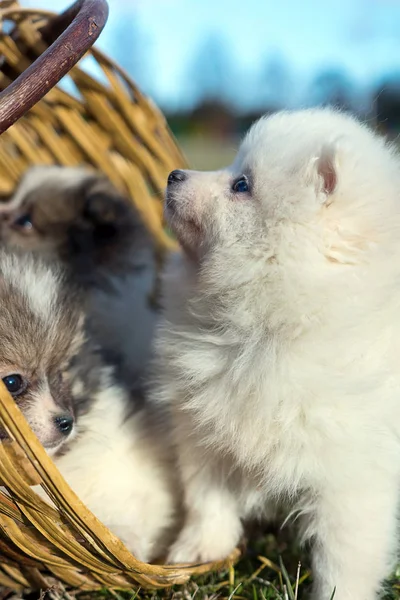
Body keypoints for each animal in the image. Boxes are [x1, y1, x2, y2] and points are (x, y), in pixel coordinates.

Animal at [155, 109, 400, 600]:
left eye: (241, 184)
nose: (173, 175)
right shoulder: (206, 428)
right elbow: (206, 497)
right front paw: (198, 550)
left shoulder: (354, 480)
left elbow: (343, 560)